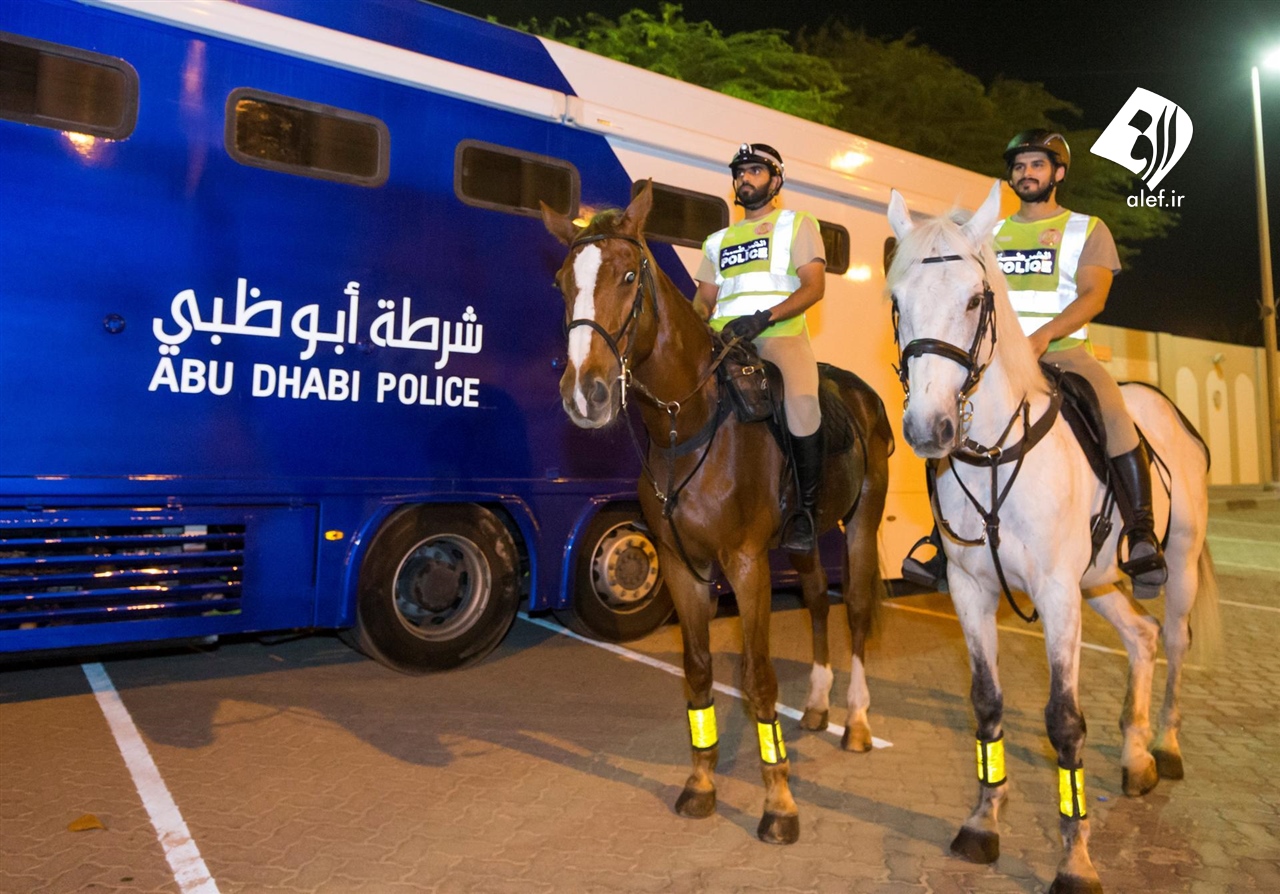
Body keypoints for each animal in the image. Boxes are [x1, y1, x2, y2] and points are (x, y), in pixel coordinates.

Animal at [542, 181, 894, 844]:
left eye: (630, 274)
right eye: (561, 282)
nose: (585, 394)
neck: (691, 424)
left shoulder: (747, 565)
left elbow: (757, 678)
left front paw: (779, 802)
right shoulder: (684, 566)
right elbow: (700, 670)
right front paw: (702, 783)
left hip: (860, 522)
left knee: (857, 610)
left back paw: (857, 722)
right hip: (805, 539)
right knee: (816, 601)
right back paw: (816, 706)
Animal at [885, 181, 1220, 893]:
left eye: (975, 299)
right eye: (897, 301)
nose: (929, 429)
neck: (993, 454)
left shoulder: (1057, 593)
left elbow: (1064, 723)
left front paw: (1076, 860)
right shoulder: (972, 590)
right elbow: (986, 703)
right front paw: (984, 822)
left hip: (1172, 564)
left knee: (1175, 640)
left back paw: (1166, 746)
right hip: (1098, 581)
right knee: (1142, 637)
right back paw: (1136, 758)